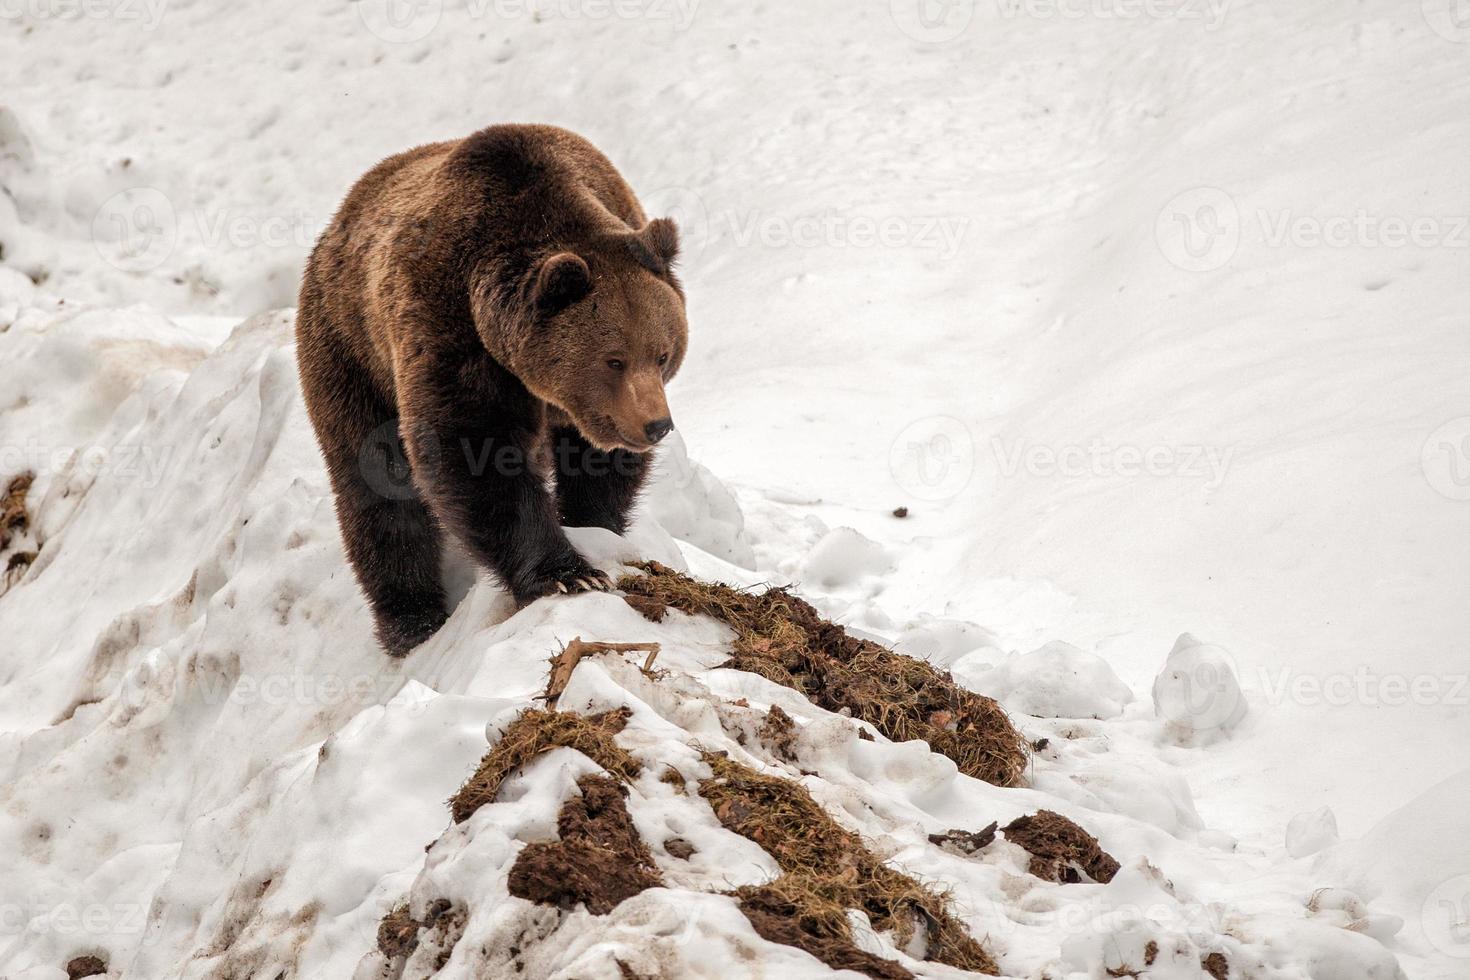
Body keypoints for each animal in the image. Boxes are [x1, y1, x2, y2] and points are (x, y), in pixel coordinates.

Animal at [301, 124, 690, 658]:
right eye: (614, 359)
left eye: (663, 354)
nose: (655, 425)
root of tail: (336, 223)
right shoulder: (451, 330)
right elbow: (473, 451)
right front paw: (567, 573)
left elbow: (596, 468)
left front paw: (595, 526)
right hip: (350, 352)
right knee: (377, 485)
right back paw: (412, 620)